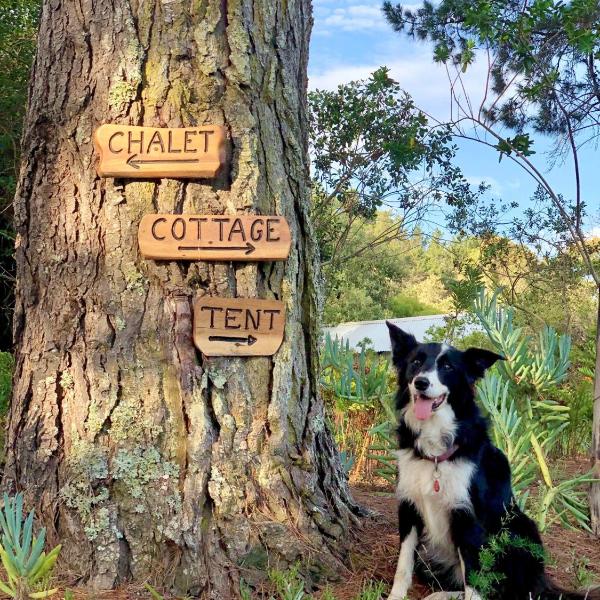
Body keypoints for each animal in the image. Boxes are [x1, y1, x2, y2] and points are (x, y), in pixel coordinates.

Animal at [386, 324, 596, 600]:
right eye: (416, 362)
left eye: (447, 367)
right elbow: (403, 563)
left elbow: (474, 578)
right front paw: (395, 596)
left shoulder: (469, 518)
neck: (436, 449)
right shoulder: (409, 507)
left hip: (521, 526)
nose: (421, 382)